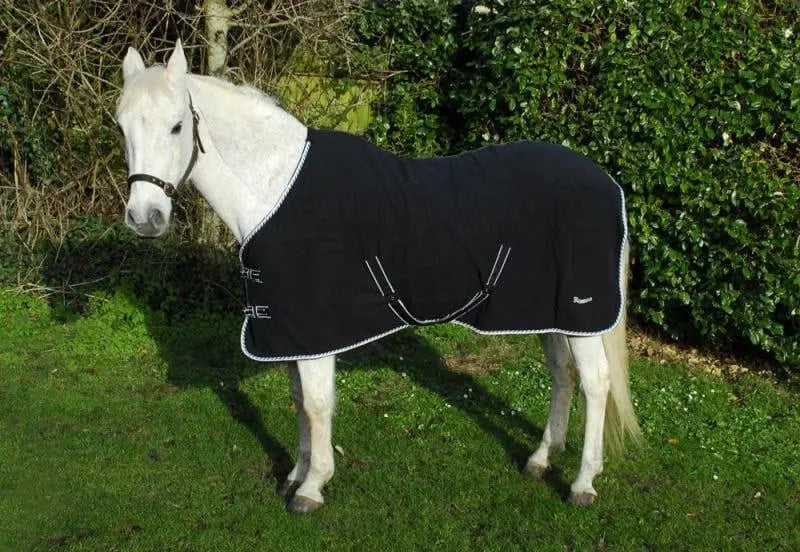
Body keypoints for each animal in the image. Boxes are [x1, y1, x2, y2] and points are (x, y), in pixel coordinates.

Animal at [116, 41, 641, 514]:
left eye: (177, 125)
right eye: (122, 127)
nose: (145, 218)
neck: (277, 188)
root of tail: (605, 181)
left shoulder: (315, 330)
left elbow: (316, 404)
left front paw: (312, 487)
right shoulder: (289, 331)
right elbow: (298, 400)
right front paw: (296, 473)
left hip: (581, 314)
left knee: (596, 383)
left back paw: (583, 483)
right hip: (545, 311)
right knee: (562, 374)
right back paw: (540, 459)